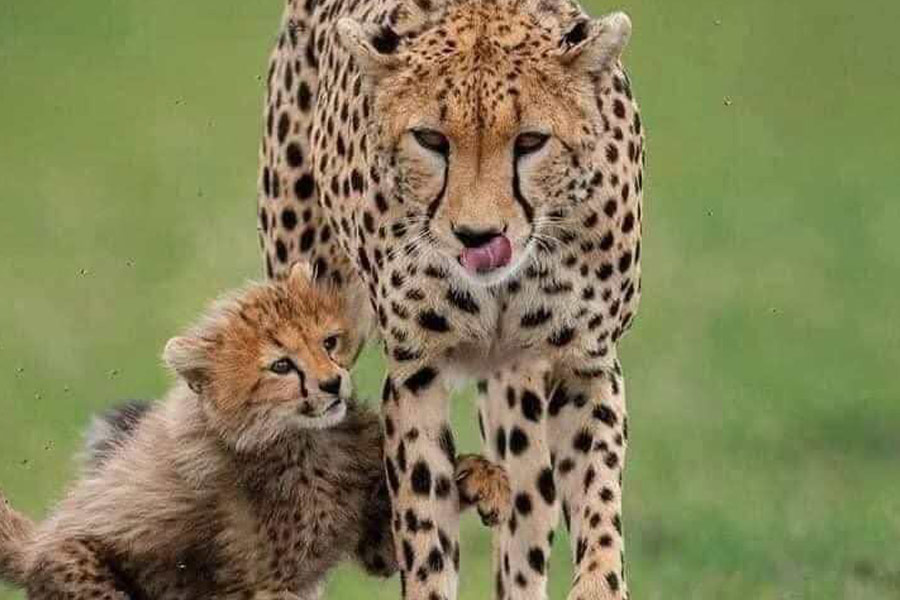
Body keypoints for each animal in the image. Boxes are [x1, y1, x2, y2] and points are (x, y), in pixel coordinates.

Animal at [0, 263, 510, 599]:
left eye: (329, 342)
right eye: (281, 366)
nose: (332, 383)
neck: (310, 440)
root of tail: (36, 540)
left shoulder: (373, 545)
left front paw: (481, 476)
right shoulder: (265, 585)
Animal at [256, 0, 645, 598]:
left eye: (530, 141)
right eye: (431, 140)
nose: (478, 235)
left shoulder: (586, 362)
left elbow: (599, 503)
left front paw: (599, 582)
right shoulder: (418, 371)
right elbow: (424, 527)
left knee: (528, 516)